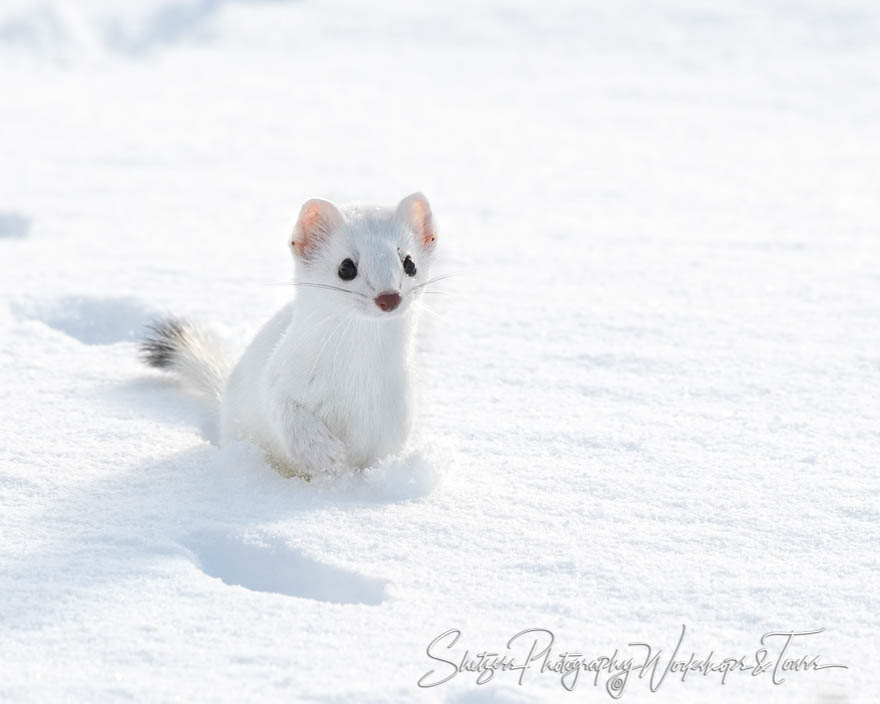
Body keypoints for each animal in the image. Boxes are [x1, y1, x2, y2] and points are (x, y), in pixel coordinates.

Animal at [144, 192, 440, 478]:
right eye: (346, 267)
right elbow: (286, 412)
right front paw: (323, 453)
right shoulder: (279, 379)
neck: (355, 382)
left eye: (409, 262)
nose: (389, 297)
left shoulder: (394, 421)